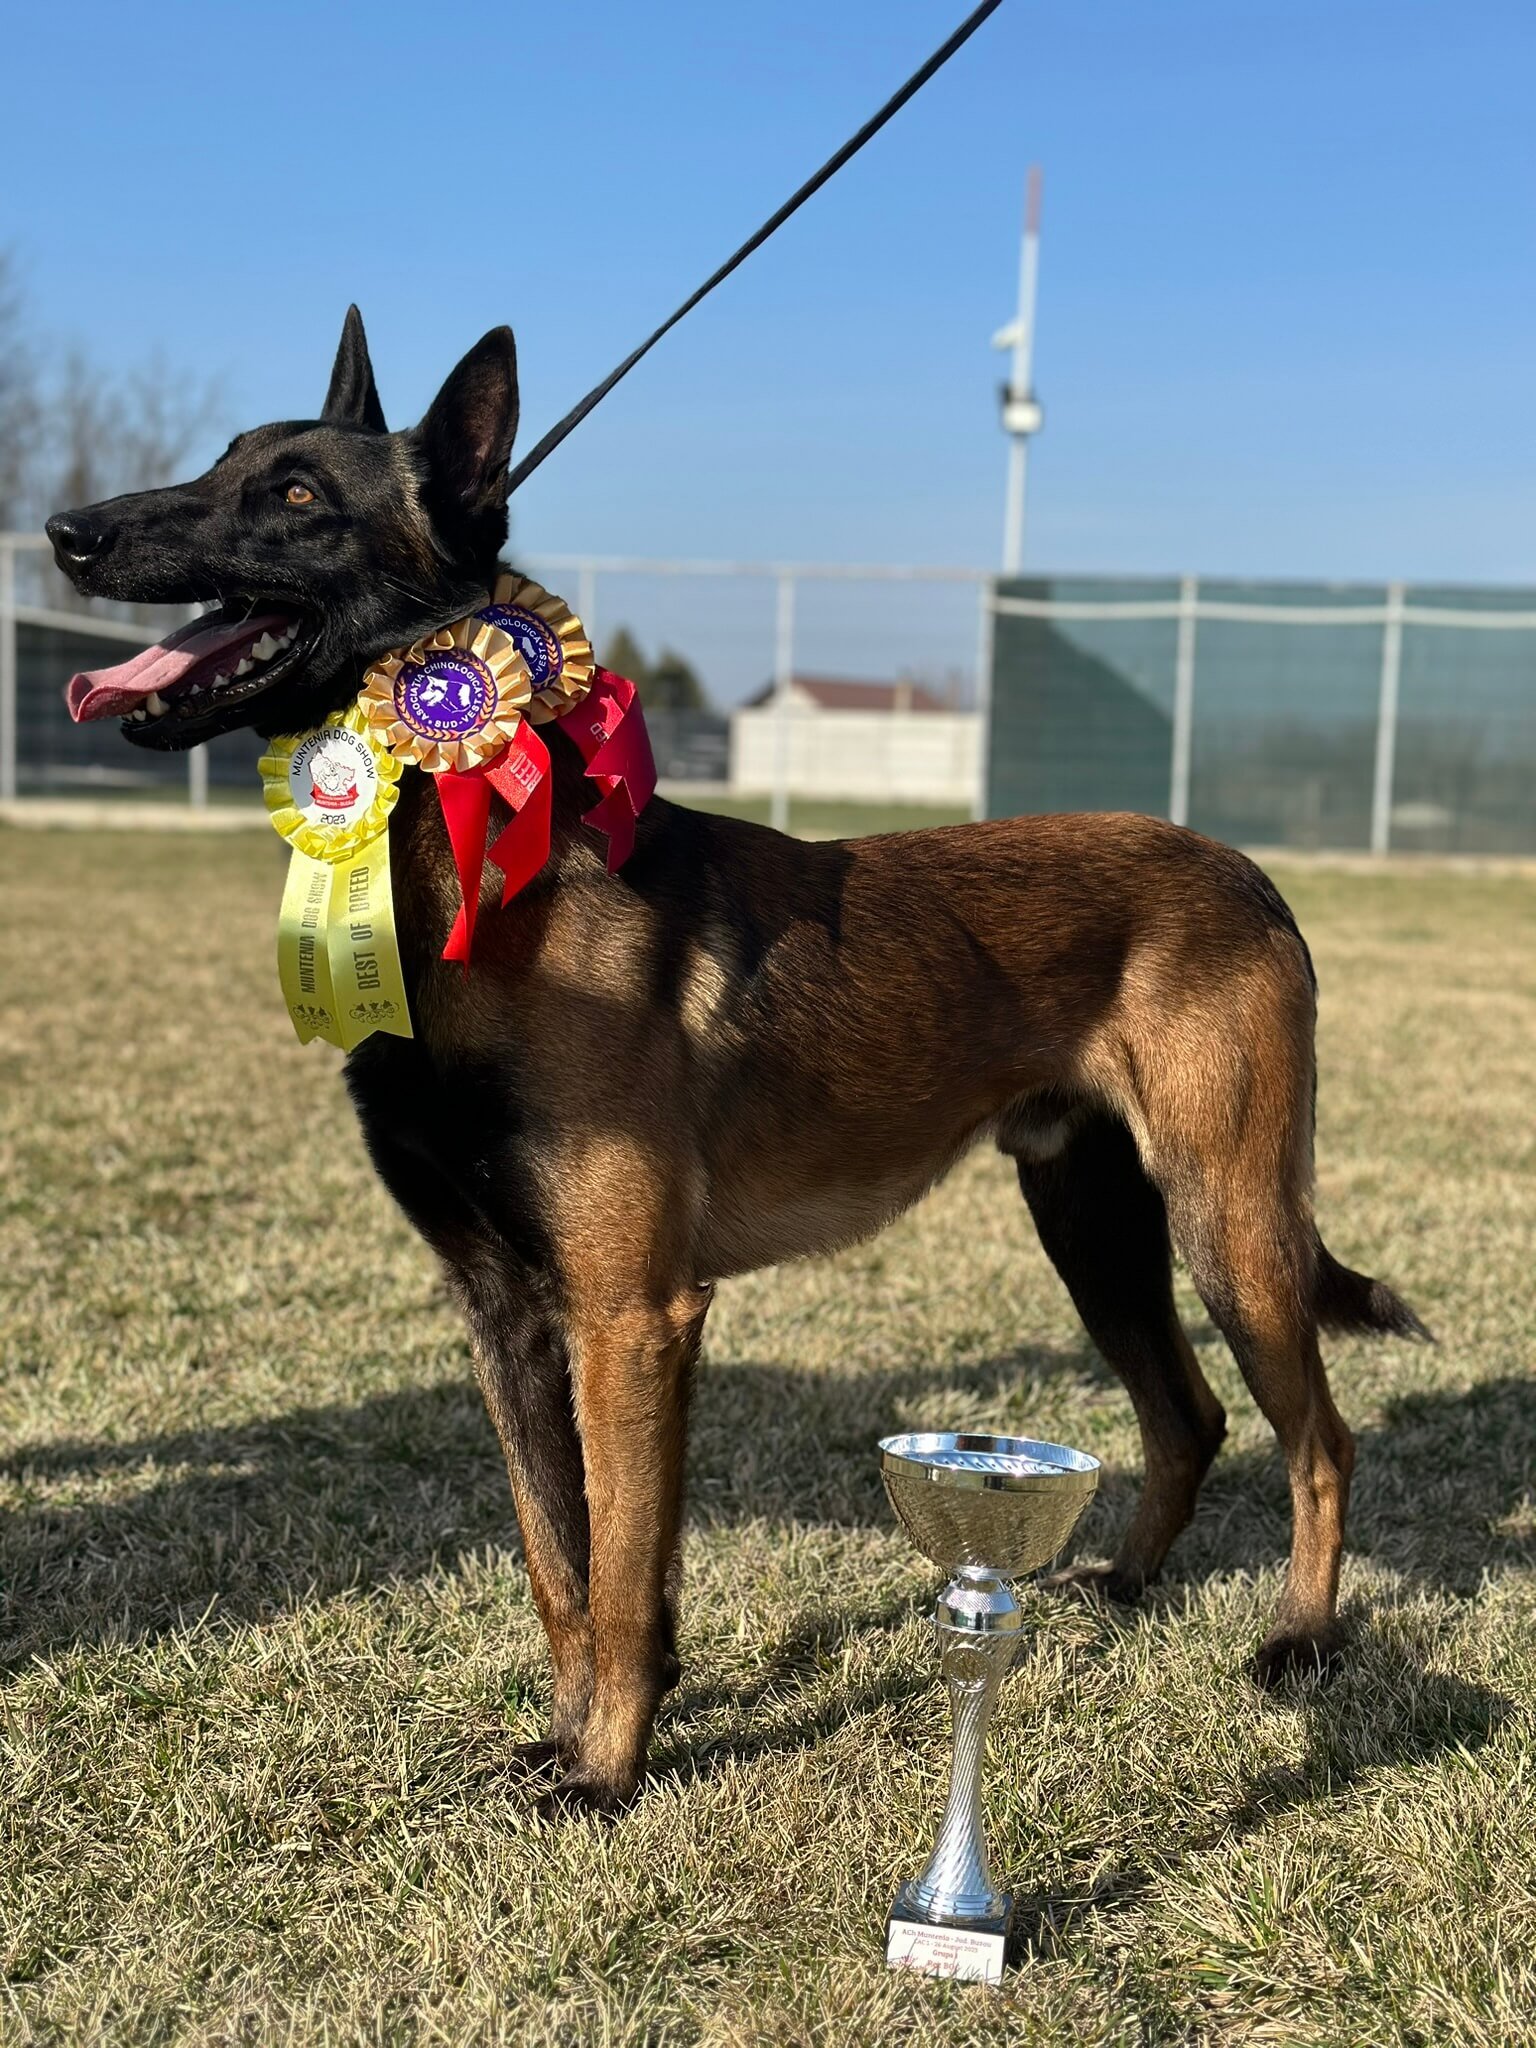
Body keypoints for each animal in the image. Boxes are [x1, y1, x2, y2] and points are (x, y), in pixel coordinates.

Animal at [54, 311, 1441, 1818]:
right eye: (220, 462)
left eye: (297, 495)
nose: (68, 531)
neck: (475, 881)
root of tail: (1247, 873)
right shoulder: (506, 1314)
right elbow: (558, 1565)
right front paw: (567, 1737)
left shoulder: (632, 1317)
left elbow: (617, 1576)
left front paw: (606, 1770)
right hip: (1096, 1227)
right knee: (1187, 1417)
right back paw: (1122, 1585)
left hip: (1227, 1227)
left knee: (1320, 1442)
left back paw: (1299, 1640)